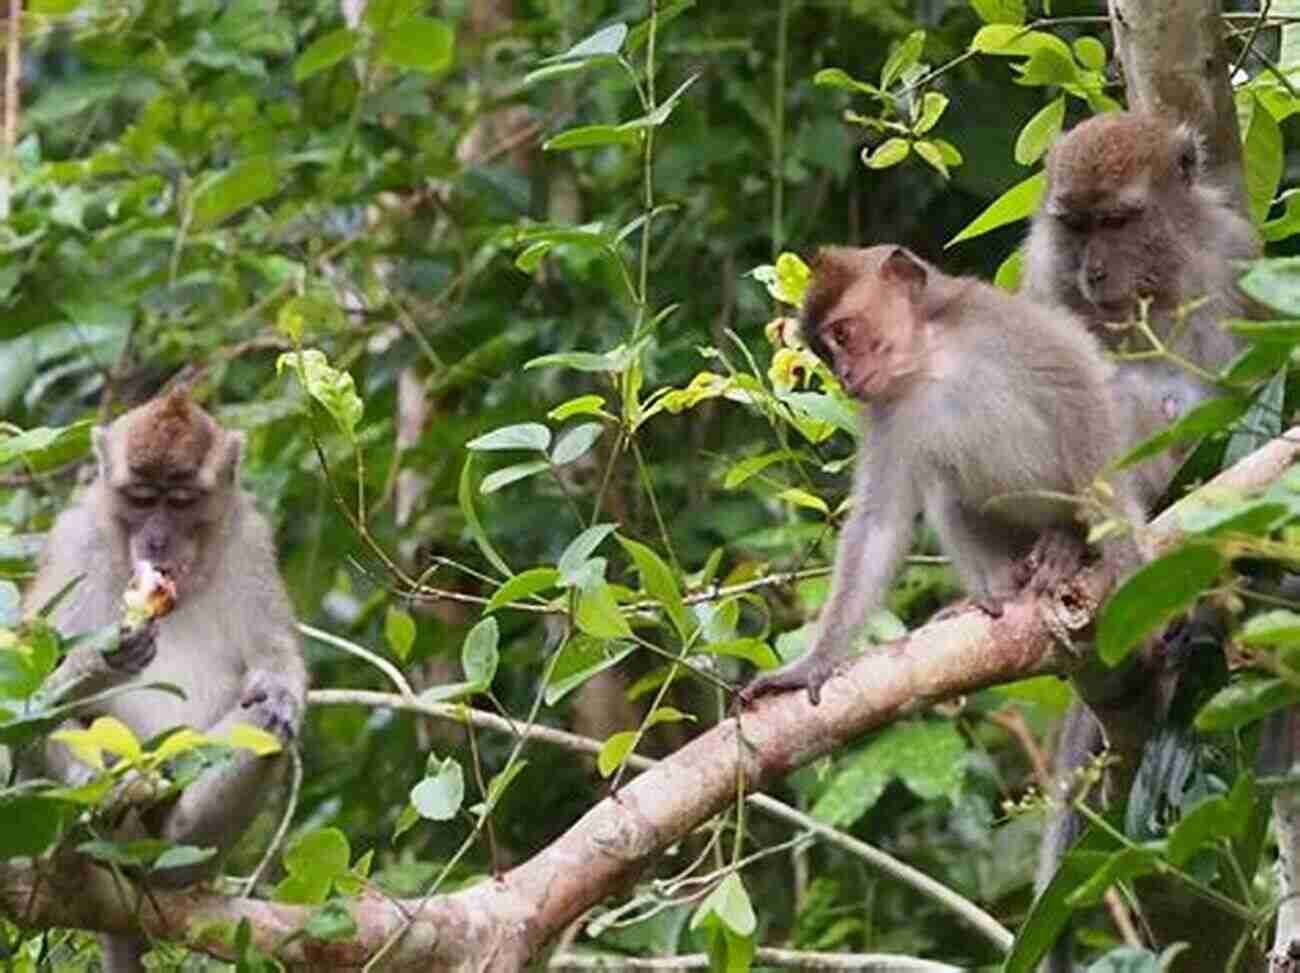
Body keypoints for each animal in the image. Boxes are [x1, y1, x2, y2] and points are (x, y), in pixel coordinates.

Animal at [20, 390, 306, 973]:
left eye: (179, 502)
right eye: (140, 498)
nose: (155, 540)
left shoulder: (249, 540)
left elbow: (276, 661)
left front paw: (281, 696)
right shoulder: (75, 540)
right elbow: (22, 678)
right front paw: (103, 659)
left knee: (262, 731)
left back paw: (177, 839)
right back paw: (101, 799)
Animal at [743, 243, 1149, 707]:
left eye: (842, 335)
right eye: (826, 355)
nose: (843, 377)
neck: (930, 358)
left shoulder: (1006, 325)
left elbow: (1085, 399)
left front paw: (1128, 570)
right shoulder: (883, 411)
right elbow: (879, 524)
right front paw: (813, 663)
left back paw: (1066, 544)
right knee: (943, 487)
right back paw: (998, 590)